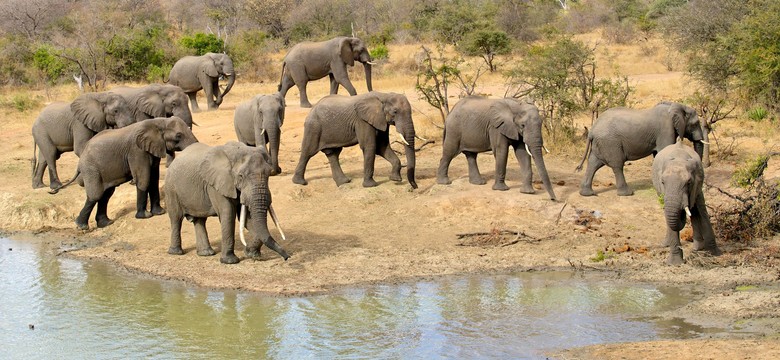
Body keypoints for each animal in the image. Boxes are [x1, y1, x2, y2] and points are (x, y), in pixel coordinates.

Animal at [53, 116, 197, 229]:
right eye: (178, 136)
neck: (159, 122)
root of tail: (80, 161)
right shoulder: (137, 151)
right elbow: (144, 179)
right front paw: (145, 216)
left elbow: (153, 180)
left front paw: (159, 212)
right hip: (91, 168)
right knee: (95, 195)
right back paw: (81, 226)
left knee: (106, 195)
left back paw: (106, 223)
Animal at [572, 101, 708, 197]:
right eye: (695, 124)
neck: (676, 105)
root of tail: (592, 130)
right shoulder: (666, 129)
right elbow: (664, 149)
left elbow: (658, 155)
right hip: (610, 142)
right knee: (617, 165)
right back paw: (627, 193)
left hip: (602, 143)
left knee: (593, 163)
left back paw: (588, 194)